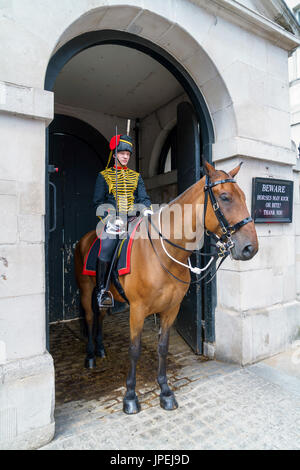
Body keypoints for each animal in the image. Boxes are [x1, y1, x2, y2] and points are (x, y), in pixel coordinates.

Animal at [74, 162, 258, 414]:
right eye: (225, 197)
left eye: (244, 197)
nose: (250, 248)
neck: (164, 254)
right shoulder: (137, 310)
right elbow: (134, 349)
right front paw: (130, 396)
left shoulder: (171, 309)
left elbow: (163, 347)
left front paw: (165, 390)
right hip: (86, 290)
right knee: (92, 316)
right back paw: (91, 355)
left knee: (100, 315)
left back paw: (101, 349)